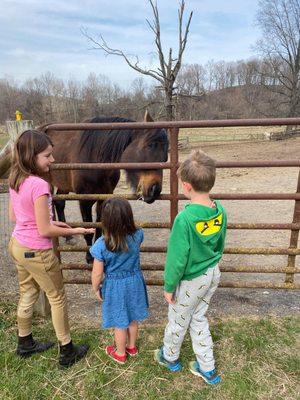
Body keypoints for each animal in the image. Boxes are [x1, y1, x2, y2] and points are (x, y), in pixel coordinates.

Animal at [40, 112, 169, 262]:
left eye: (166, 155)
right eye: (149, 145)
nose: (154, 190)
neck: (95, 159)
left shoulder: (104, 196)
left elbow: (99, 227)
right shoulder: (84, 200)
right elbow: (88, 229)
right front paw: (89, 257)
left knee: (59, 203)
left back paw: (68, 237)